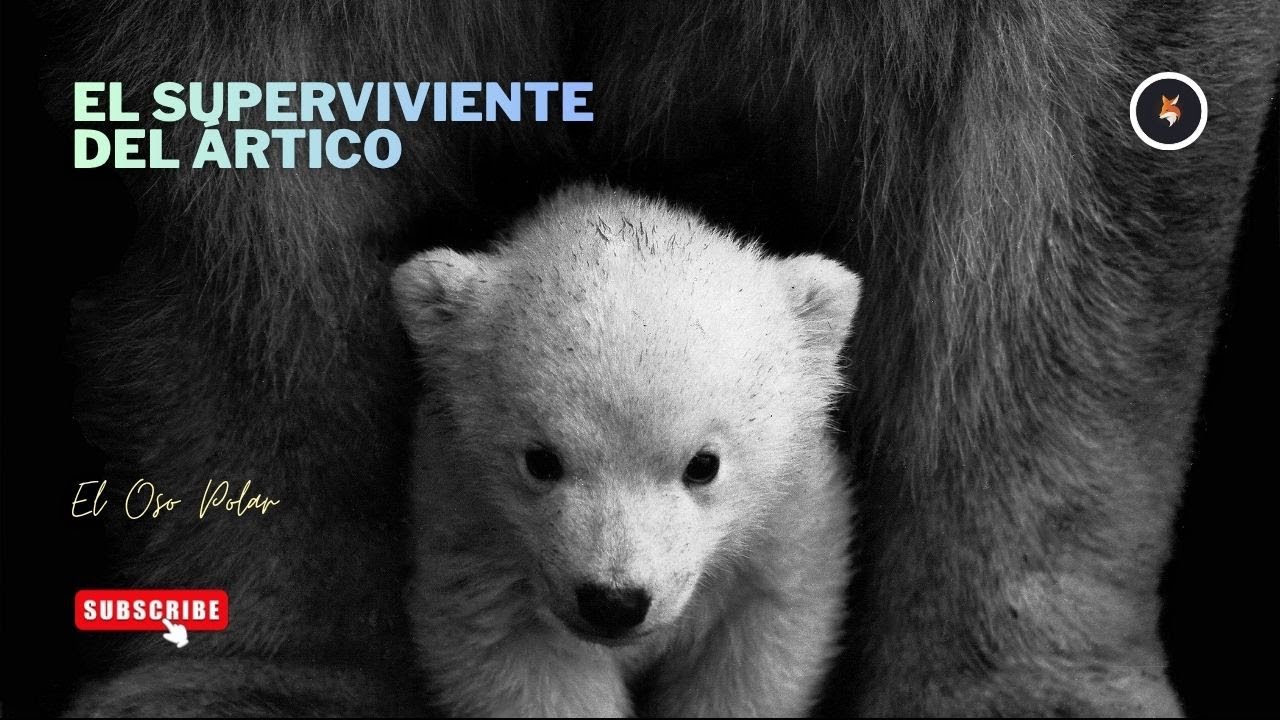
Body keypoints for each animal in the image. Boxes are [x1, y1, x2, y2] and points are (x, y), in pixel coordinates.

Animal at [390, 184, 860, 717]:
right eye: (541, 461)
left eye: (703, 465)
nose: (614, 602)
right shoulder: (472, 540)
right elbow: (524, 668)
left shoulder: (783, 539)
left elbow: (751, 659)